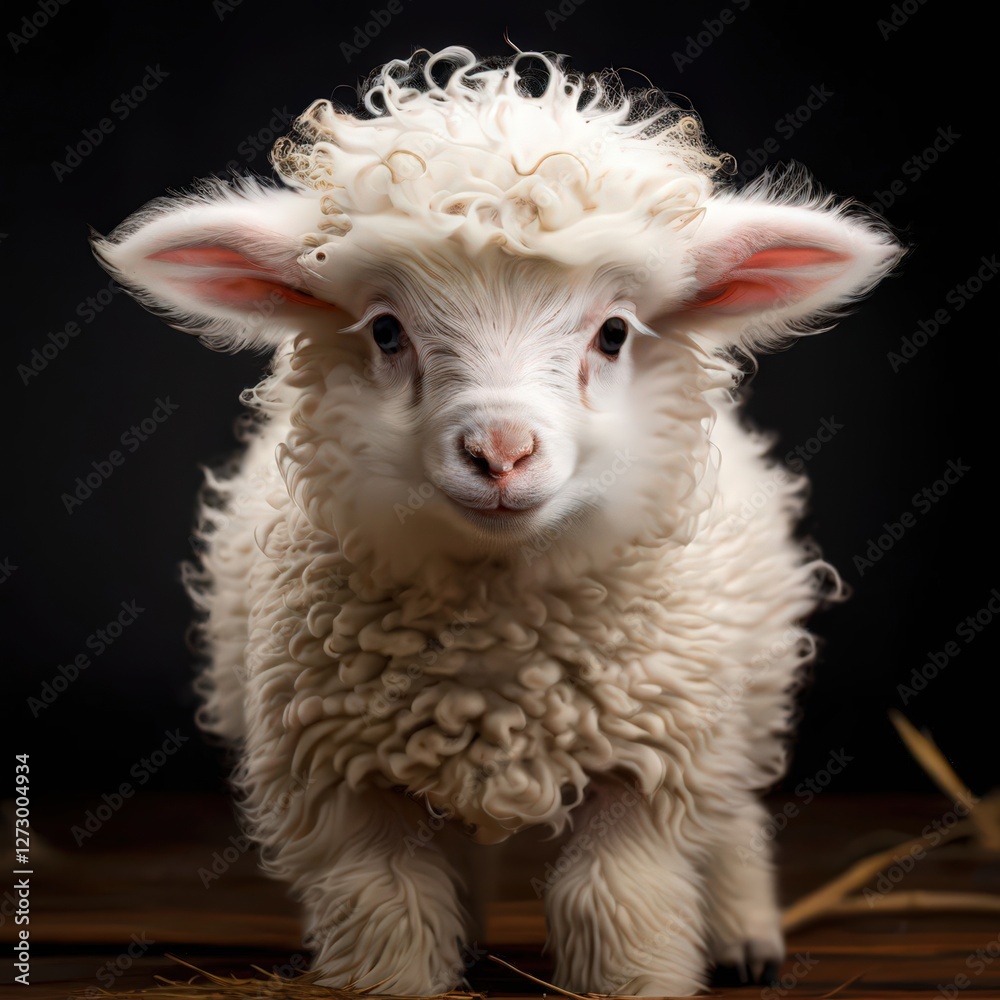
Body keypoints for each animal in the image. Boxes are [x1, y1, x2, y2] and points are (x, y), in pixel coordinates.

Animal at [92, 46, 901, 996]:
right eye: (386, 331)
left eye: (614, 333)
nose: (501, 452)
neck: (497, 639)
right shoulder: (346, 788)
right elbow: (392, 923)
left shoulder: (648, 770)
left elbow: (617, 906)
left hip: (745, 695)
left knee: (732, 813)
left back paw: (745, 938)